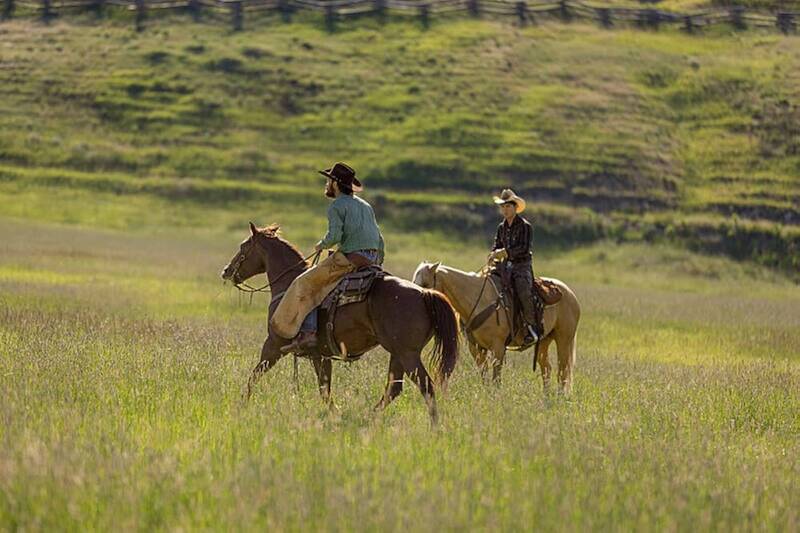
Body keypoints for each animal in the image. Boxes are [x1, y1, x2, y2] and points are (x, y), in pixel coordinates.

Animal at [220, 222, 456, 422]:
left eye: (243, 247)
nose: (226, 271)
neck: (287, 285)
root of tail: (425, 294)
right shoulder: (321, 354)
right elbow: (324, 388)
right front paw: (336, 413)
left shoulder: (274, 344)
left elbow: (254, 376)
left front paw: (241, 406)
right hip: (399, 353)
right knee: (394, 389)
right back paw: (369, 416)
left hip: (407, 354)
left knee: (426, 387)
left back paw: (434, 426)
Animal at [412, 260, 580, 390]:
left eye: (426, 283)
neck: (477, 300)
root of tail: (570, 293)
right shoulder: (476, 347)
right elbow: (484, 374)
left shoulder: (498, 347)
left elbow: (496, 376)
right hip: (544, 341)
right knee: (547, 368)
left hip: (564, 340)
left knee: (563, 371)